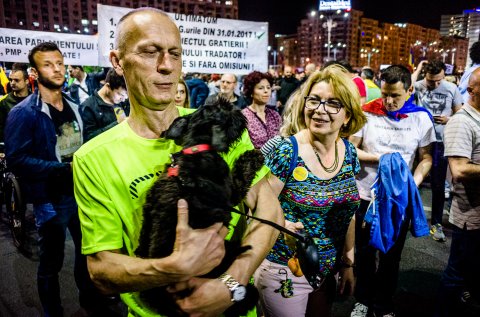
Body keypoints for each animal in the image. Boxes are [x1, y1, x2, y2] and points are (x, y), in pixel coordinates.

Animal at [136, 97, 266, 314]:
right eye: (221, 108)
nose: (237, 109)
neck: (196, 149)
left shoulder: (150, 206)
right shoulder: (232, 193)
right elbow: (242, 174)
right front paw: (253, 156)